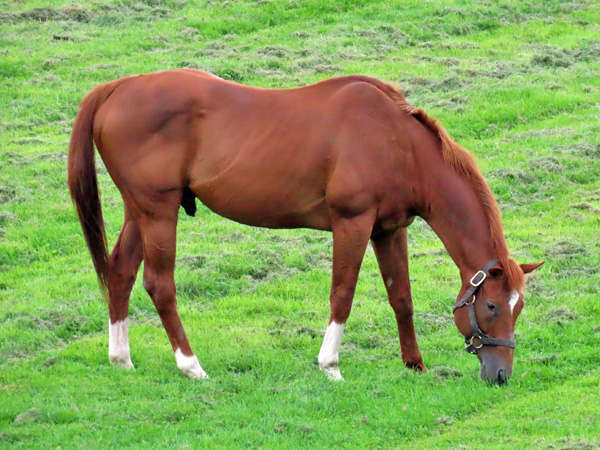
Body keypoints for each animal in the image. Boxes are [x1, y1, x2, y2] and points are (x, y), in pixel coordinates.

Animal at [69, 68, 544, 384]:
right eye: (491, 307)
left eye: (518, 307)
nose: (501, 374)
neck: (398, 141)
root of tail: (117, 88)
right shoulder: (352, 224)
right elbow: (342, 295)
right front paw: (330, 365)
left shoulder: (389, 230)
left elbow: (401, 297)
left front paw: (415, 364)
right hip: (158, 212)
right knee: (159, 284)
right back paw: (191, 365)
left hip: (140, 212)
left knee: (121, 271)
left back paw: (121, 358)